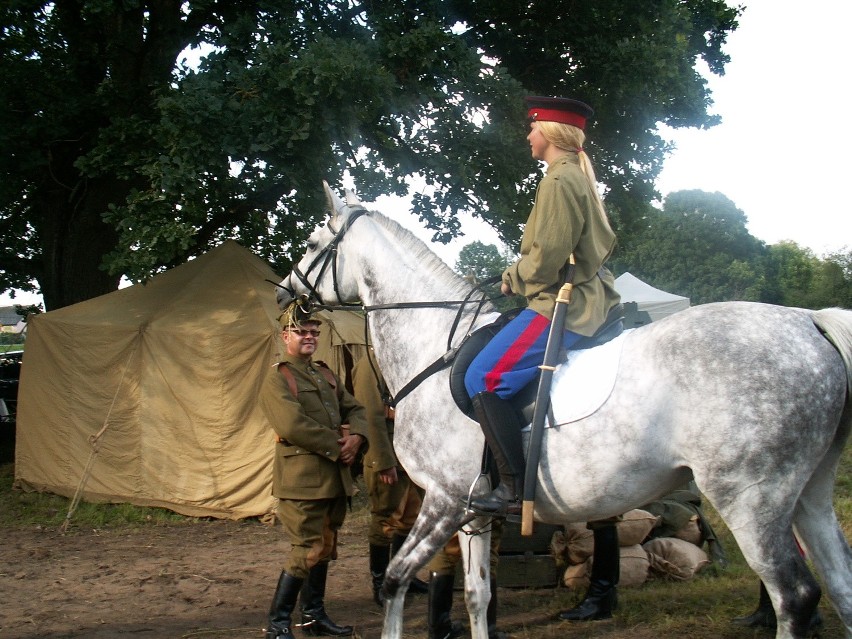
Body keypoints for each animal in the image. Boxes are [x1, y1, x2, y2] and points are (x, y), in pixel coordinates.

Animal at [276, 181, 848, 639]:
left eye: (312, 244)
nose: (284, 294)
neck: (437, 347)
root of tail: (808, 321)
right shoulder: (474, 515)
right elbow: (479, 597)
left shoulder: (444, 500)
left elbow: (396, 581)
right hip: (807, 494)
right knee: (840, 583)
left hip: (751, 498)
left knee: (794, 596)